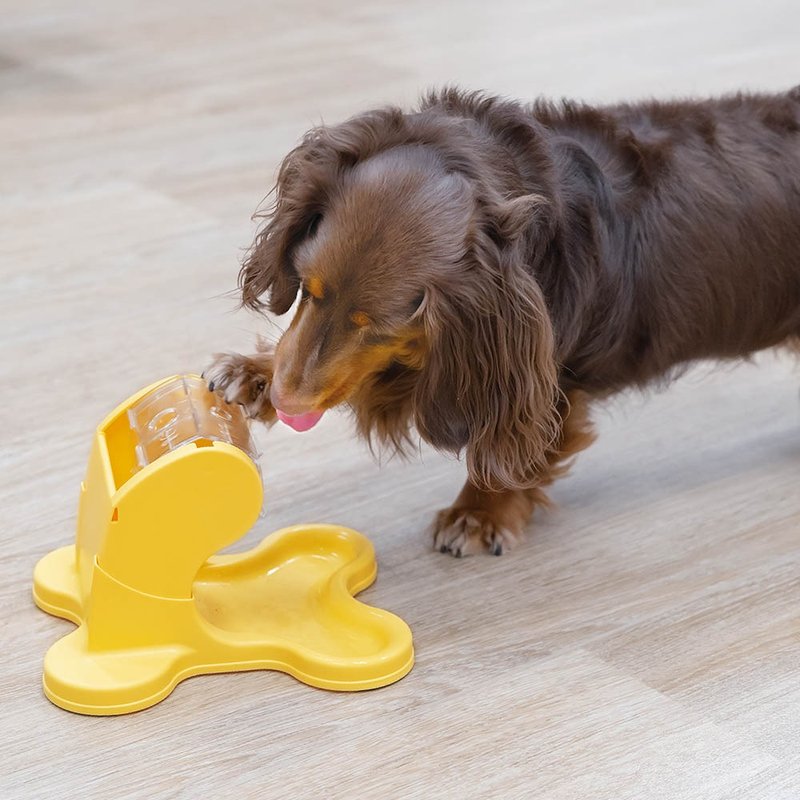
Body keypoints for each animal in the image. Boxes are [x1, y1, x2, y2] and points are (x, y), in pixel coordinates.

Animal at [205, 86, 800, 556]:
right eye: (308, 288)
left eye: (377, 324)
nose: (288, 402)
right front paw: (251, 373)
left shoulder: (538, 378)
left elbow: (505, 445)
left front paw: (479, 513)